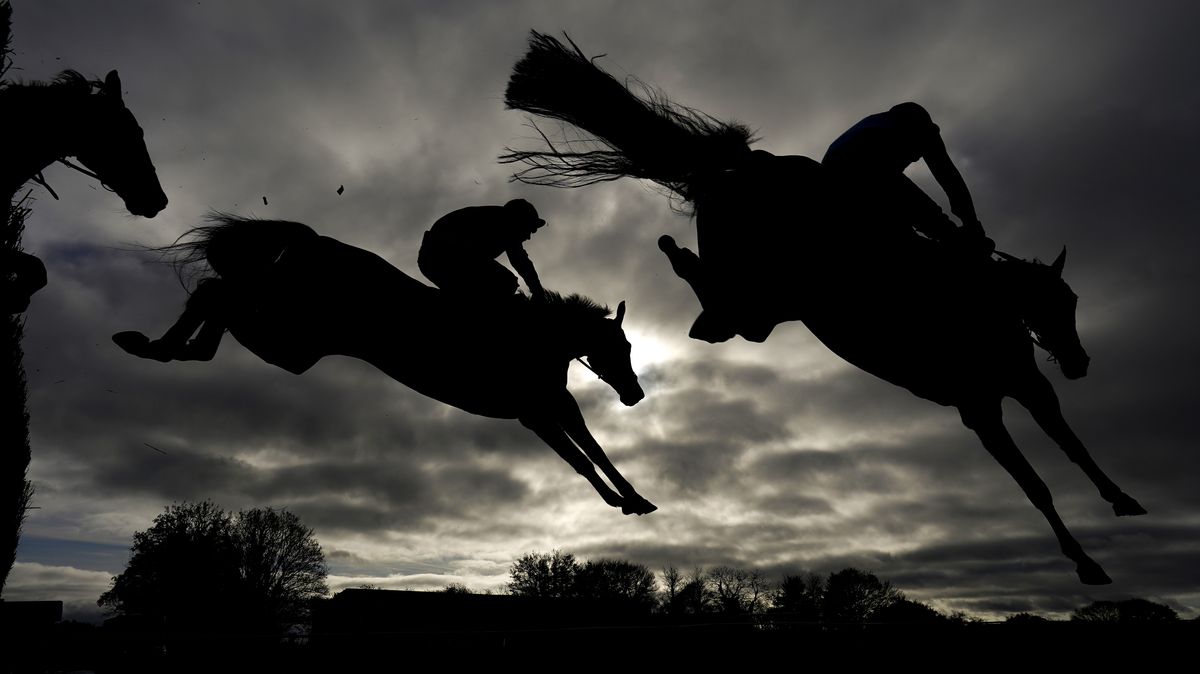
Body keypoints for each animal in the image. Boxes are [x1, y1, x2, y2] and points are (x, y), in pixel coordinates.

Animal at [112, 214, 657, 513]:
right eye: (621, 348)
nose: (634, 394)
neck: (537, 339)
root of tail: (311, 241)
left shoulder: (553, 405)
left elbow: (591, 450)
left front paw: (633, 499)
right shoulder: (534, 411)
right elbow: (580, 456)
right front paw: (622, 500)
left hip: (295, 341)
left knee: (217, 295)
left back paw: (160, 346)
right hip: (295, 336)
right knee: (218, 295)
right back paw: (158, 345)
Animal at [501, 31, 1147, 580]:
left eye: (1073, 302)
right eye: (1052, 306)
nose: (1079, 363)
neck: (977, 306)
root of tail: (742, 168)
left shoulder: (1030, 384)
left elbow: (1073, 447)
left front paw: (1121, 498)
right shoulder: (978, 407)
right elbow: (1035, 485)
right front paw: (1086, 563)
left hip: (767, 312)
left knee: (718, 306)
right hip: (760, 295)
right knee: (712, 290)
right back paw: (676, 259)